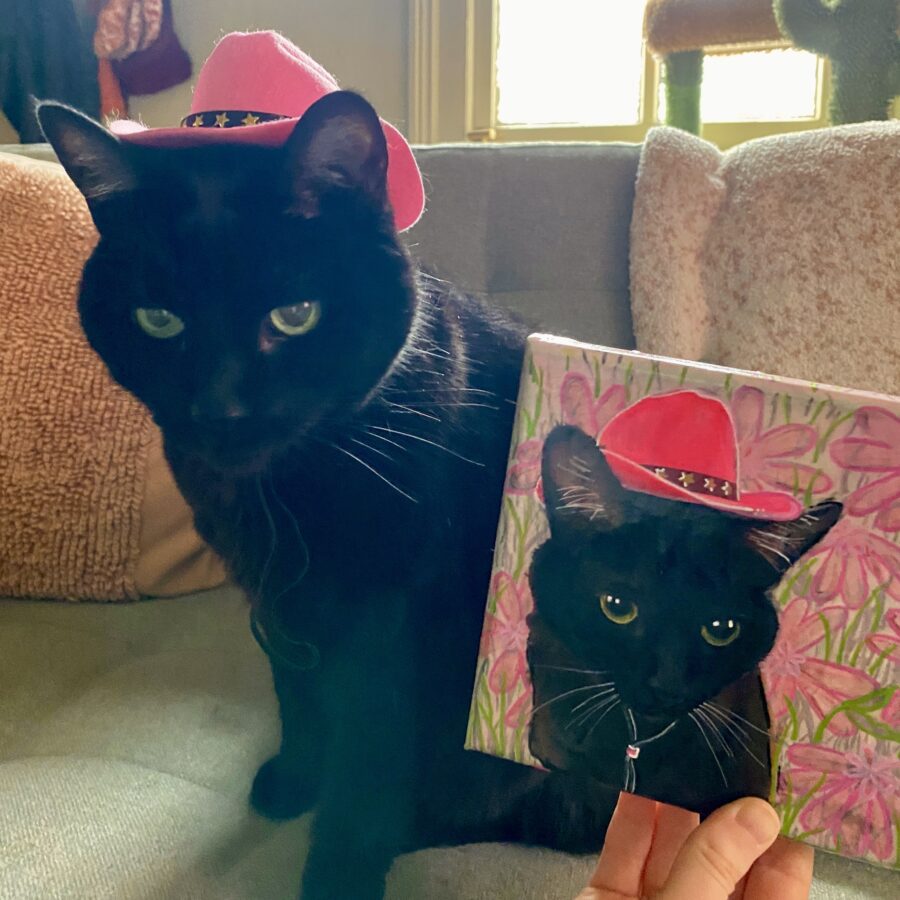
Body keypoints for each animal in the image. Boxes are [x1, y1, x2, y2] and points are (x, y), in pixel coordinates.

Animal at [40, 93, 620, 900]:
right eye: (159, 320)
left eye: (295, 315)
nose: (219, 410)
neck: (283, 497)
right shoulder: (279, 602)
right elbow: (299, 698)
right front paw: (295, 781)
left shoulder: (394, 627)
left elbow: (366, 770)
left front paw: (338, 869)